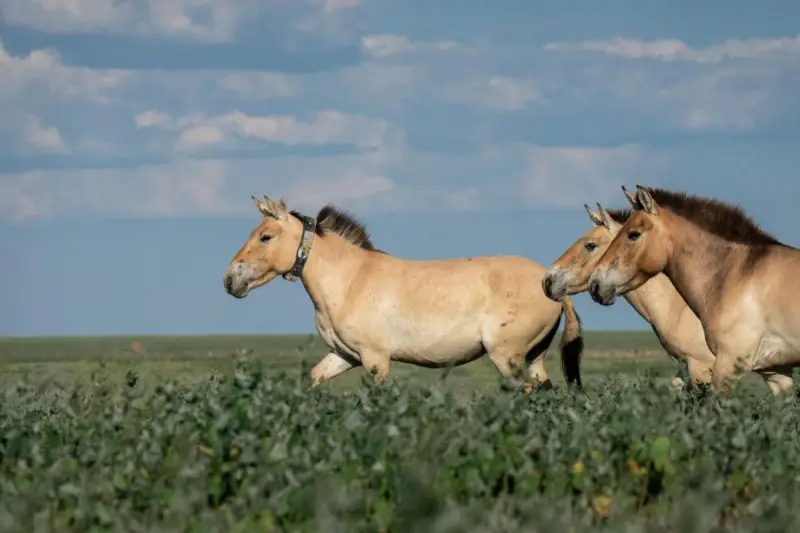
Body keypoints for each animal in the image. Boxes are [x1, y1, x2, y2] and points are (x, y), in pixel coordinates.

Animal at [223, 195, 584, 391]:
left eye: (266, 236)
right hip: (532, 356)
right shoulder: (343, 356)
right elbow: (313, 379)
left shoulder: (375, 360)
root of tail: (549, 282)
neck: (350, 281)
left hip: (507, 358)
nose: (229, 280)